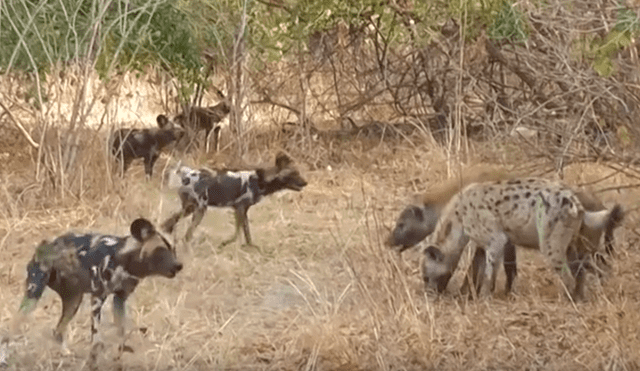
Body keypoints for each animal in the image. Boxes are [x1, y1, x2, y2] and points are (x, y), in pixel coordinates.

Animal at [11, 218, 184, 370]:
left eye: (173, 249)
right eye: (160, 250)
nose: (179, 265)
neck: (123, 259)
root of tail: (44, 245)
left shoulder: (120, 298)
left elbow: (121, 334)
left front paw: (118, 360)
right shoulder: (98, 297)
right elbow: (96, 340)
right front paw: (93, 363)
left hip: (74, 301)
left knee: (58, 331)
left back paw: (65, 353)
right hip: (34, 293)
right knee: (16, 323)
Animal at [162, 153, 308, 248]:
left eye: (298, 172)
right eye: (294, 173)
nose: (306, 183)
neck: (261, 180)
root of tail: (186, 176)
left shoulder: (240, 210)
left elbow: (244, 233)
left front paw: (250, 247)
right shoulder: (240, 209)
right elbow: (238, 234)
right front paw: (226, 244)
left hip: (189, 209)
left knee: (168, 223)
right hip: (199, 210)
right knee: (186, 234)